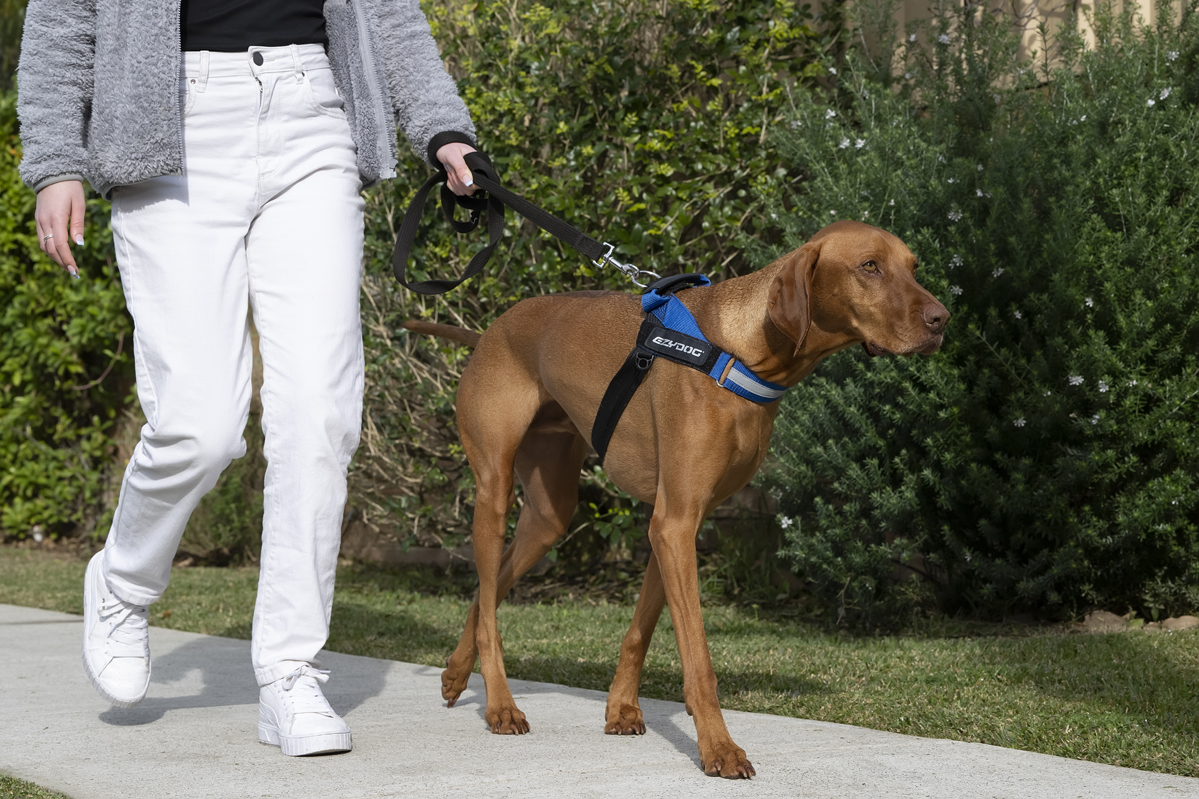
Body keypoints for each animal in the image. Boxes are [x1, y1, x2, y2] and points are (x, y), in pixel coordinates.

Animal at [407, 220, 949, 772]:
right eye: (869, 266)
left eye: (913, 267)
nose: (942, 320)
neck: (741, 353)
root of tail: (490, 330)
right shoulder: (675, 523)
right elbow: (699, 659)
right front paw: (719, 747)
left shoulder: (674, 524)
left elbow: (640, 631)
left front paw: (622, 708)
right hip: (493, 491)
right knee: (489, 602)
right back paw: (500, 704)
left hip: (547, 516)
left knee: (488, 590)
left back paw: (456, 672)